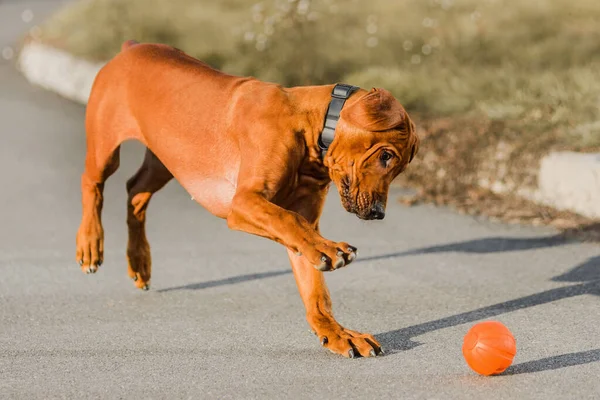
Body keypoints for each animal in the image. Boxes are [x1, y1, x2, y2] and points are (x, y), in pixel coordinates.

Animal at [75, 40, 420, 360]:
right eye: (386, 156)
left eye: (399, 167)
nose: (377, 213)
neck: (312, 126)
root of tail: (130, 47)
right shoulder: (243, 204)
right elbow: (288, 219)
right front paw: (331, 249)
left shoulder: (304, 226)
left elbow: (315, 287)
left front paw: (337, 333)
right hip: (106, 147)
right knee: (93, 184)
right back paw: (90, 244)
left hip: (167, 160)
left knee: (135, 191)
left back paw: (139, 261)